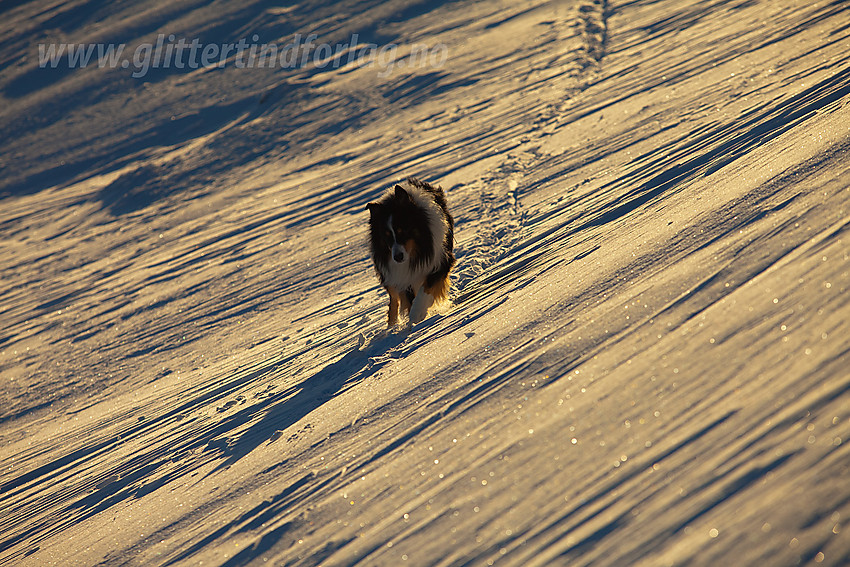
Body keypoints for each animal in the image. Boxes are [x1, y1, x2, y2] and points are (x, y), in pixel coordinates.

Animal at [366, 180, 454, 326]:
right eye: (386, 236)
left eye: (402, 231)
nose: (397, 257)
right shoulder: (403, 276)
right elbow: (406, 297)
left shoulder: (441, 261)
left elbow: (426, 288)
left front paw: (417, 313)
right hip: (387, 273)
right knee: (393, 297)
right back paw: (392, 324)